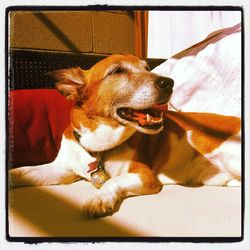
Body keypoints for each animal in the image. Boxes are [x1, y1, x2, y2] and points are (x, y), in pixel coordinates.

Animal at [9, 54, 240, 217]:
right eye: (117, 71)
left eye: (147, 68)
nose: (169, 82)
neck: (100, 147)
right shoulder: (63, 169)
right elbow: (21, 171)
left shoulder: (144, 176)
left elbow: (113, 181)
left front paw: (100, 198)